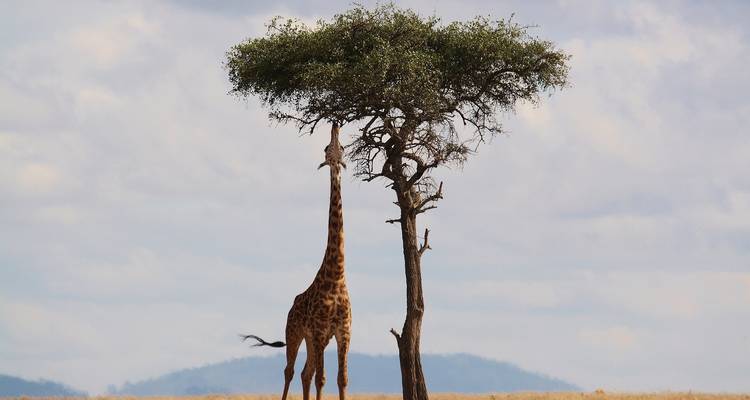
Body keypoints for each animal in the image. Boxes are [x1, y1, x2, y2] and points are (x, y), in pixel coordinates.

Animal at [242, 122, 352, 400]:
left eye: (342, 147)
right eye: (327, 147)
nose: (335, 124)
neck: (337, 275)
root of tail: (291, 306)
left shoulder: (343, 332)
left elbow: (341, 379)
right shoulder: (321, 331)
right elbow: (322, 379)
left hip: (311, 340)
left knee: (305, 373)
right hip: (294, 332)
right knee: (290, 371)